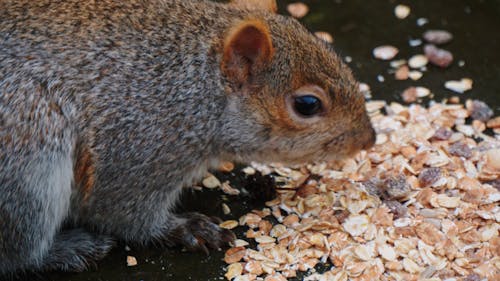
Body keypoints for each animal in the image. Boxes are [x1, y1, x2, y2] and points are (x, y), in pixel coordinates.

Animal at [0, 0, 376, 274]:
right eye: (307, 104)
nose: (368, 139)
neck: (193, 87)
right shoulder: (137, 148)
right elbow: (122, 212)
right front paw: (185, 228)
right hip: (28, 157)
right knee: (21, 252)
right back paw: (68, 249)